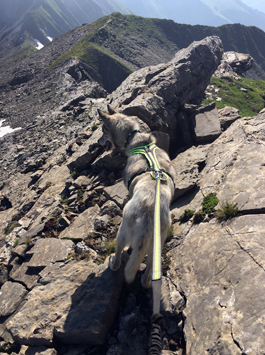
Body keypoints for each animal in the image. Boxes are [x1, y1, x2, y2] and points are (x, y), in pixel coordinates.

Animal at [97, 106, 175, 290]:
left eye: (103, 130)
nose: (98, 142)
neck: (138, 141)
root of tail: (147, 218)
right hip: (157, 243)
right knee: (149, 271)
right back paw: (147, 282)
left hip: (122, 231)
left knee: (119, 254)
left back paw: (113, 263)